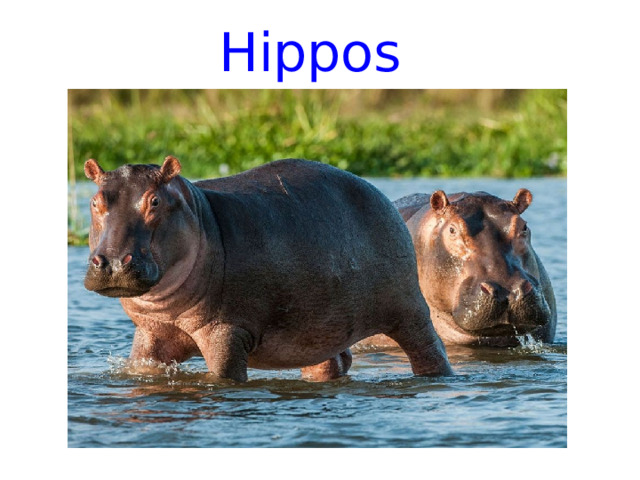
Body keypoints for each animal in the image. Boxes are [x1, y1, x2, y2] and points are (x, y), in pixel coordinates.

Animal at [83, 156, 452, 382]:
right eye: (95, 201)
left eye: (155, 201)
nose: (112, 262)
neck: (199, 214)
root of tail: (381, 195)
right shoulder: (151, 333)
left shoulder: (226, 332)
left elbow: (223, 375)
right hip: (318, 327)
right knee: (331, 362)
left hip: (409, 310)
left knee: (428, 349)